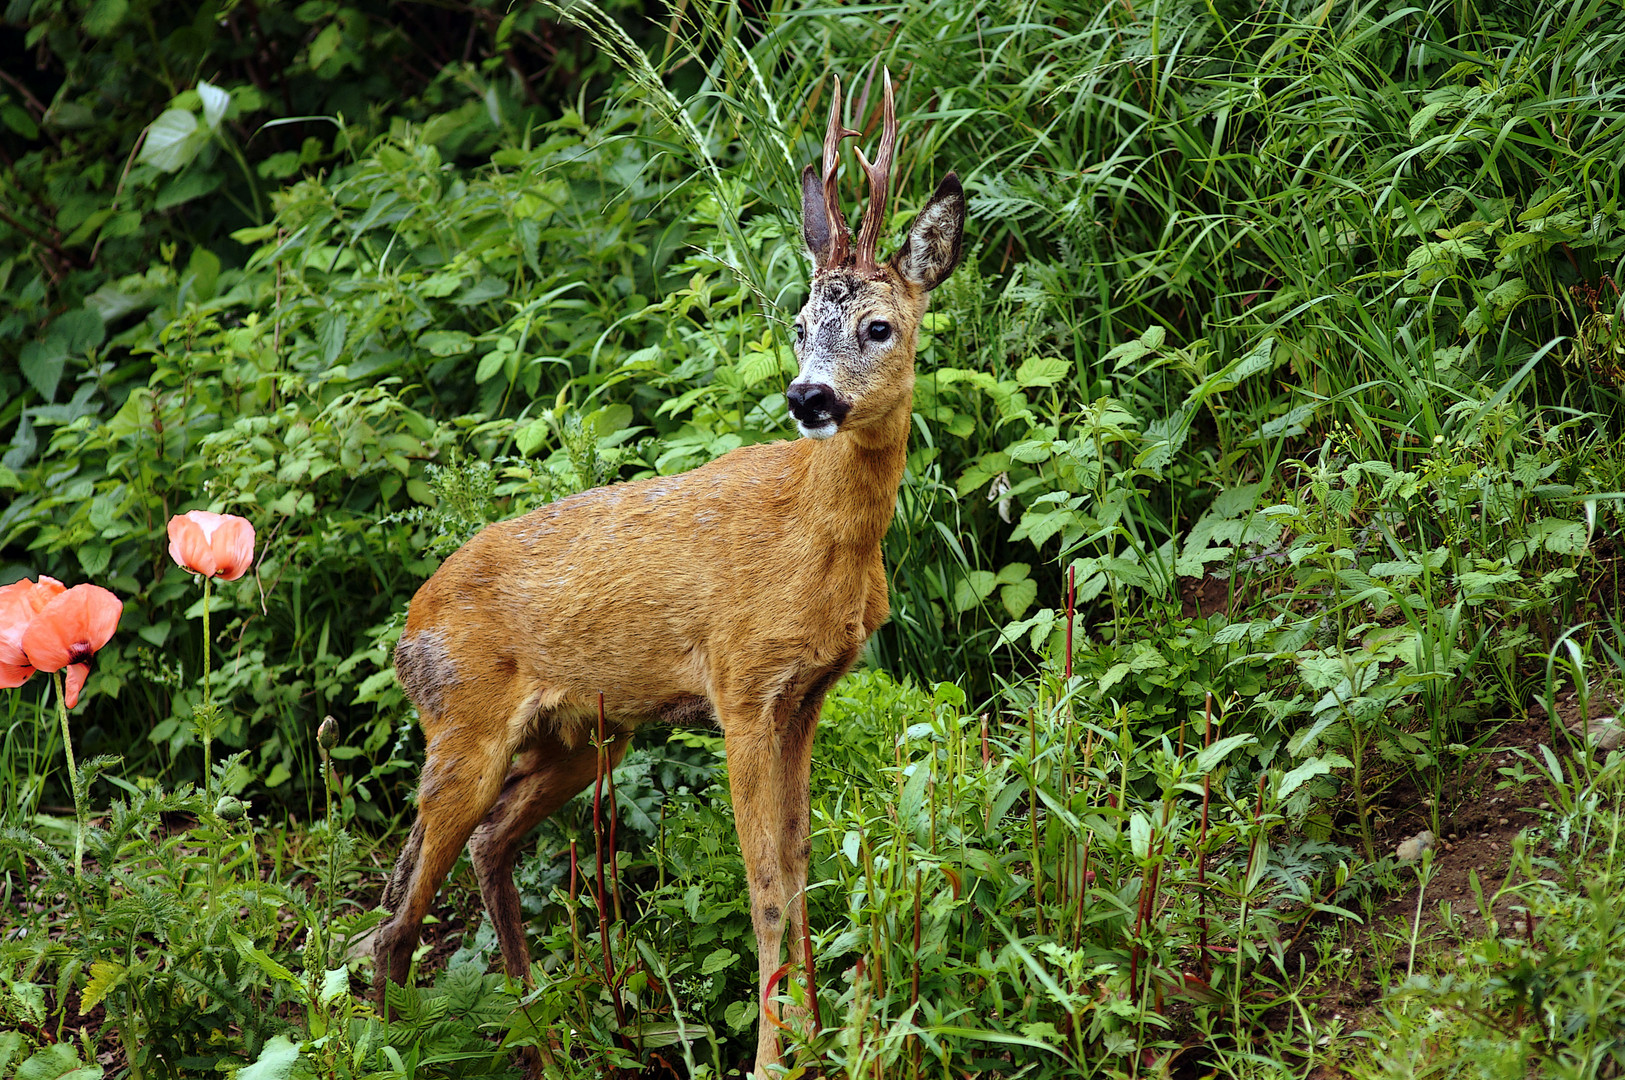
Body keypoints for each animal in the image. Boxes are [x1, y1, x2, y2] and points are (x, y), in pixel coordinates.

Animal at [377, 71, 962, 1071]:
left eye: (878, 325)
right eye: (798, 322)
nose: (807, 397)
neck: (820, 542)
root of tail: (407, 626)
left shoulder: (807, 693)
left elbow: (799, 866)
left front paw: (818, 1039)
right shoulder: (740, 687)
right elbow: (763, 881)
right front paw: (772, 1056)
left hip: (582, 737)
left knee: (485, 848)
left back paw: (546, 1027)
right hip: (463, 725)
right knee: (396, 908)